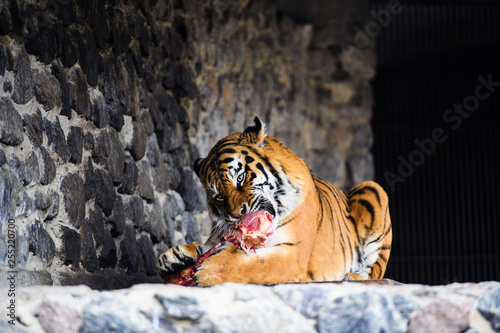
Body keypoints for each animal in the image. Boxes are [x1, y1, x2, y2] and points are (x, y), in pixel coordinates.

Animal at [158, 116, 392, 286]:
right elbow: (205, 246)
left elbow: (254, 264)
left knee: (374, 272)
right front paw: (174, 257)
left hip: (373, 189)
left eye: (240, 178)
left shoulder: (293, 254)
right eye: (218, 196)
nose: (236, 215)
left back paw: (352, 276)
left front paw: (208, 271)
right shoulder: (219, 237)